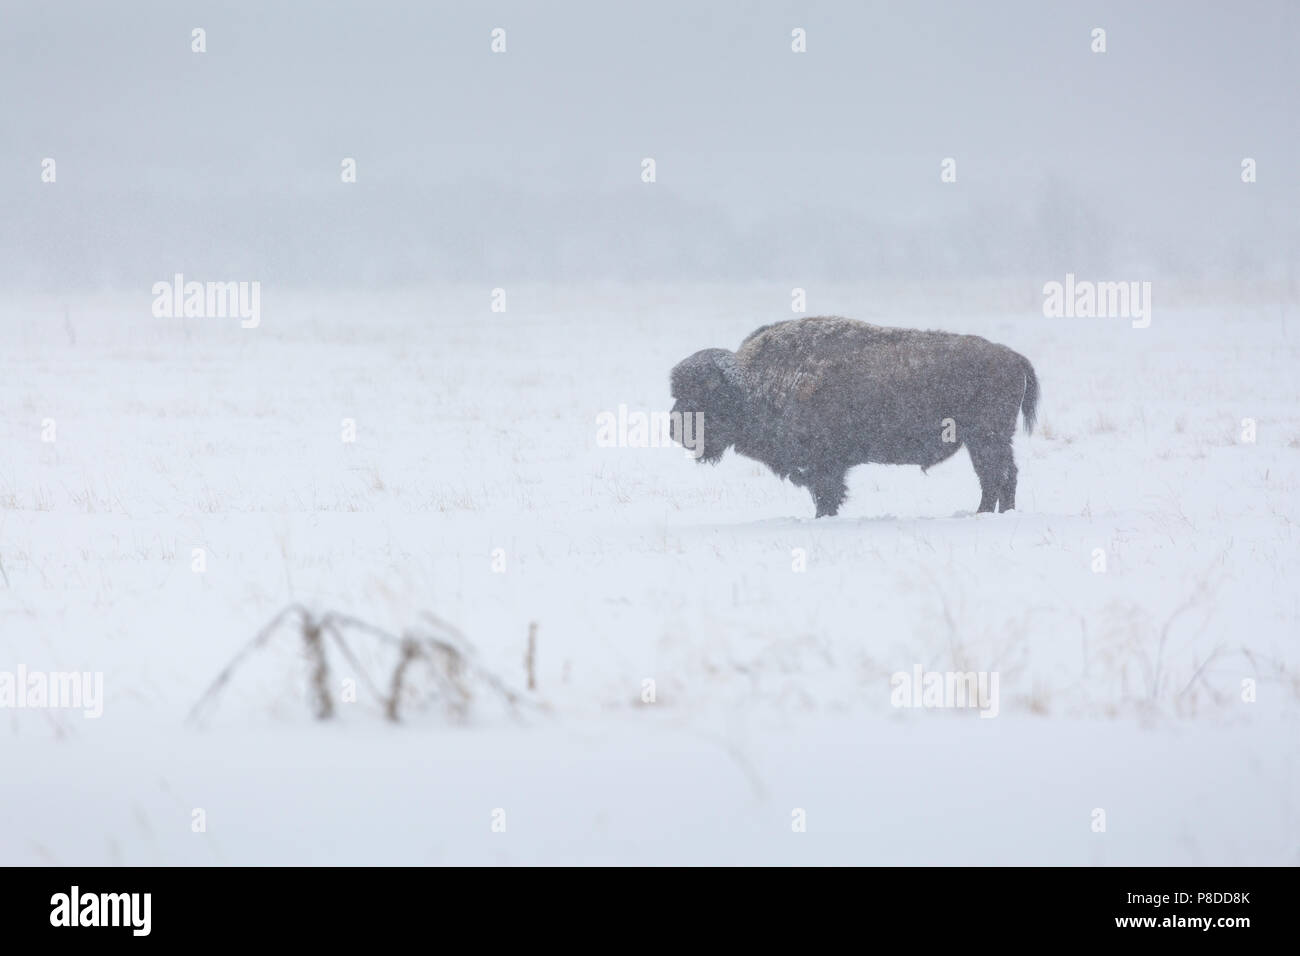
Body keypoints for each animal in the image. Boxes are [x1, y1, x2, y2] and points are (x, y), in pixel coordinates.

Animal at [670, 317, 1034, 515]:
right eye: (678, 392)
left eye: (702, 394)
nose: (674, 429)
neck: (751, 382)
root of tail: (1012, 356)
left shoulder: (824, 466)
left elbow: (827, 495)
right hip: (985, 440)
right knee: (1000, 476)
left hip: (986, 438)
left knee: (997, 476)